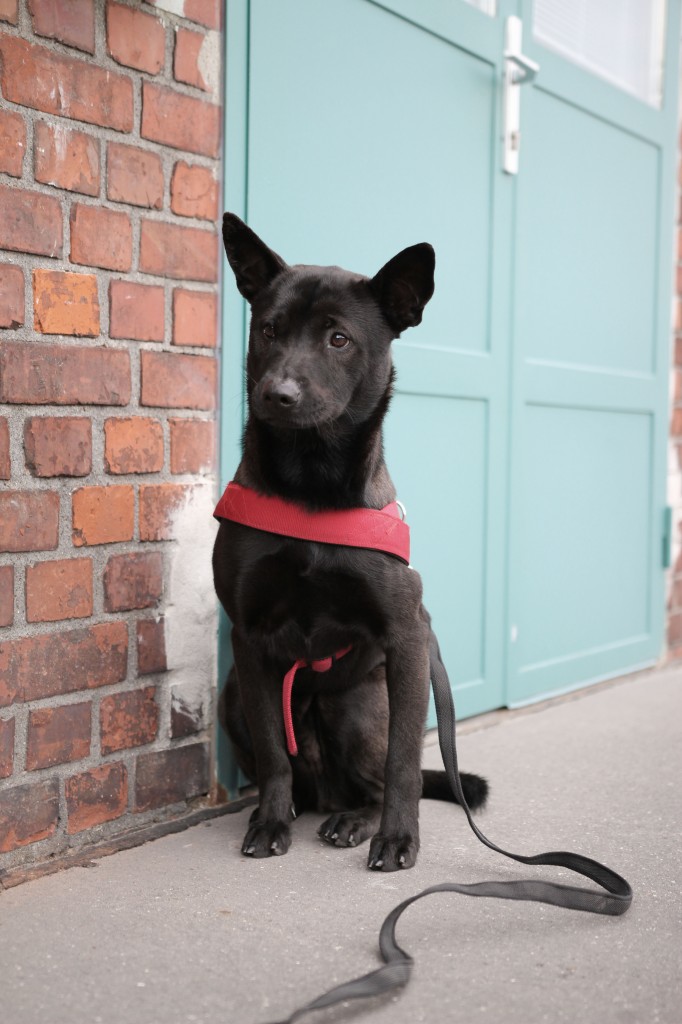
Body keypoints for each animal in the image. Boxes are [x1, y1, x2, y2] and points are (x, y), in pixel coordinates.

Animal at [212, 216, 483, 872]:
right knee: (292, 774)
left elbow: (405, 758)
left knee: (376, 782)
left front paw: (399, 837)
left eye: (339, 339)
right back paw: (292, 810)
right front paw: (268, 822)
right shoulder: (248, 639)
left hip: (358, 705)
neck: (312, 484)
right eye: (268, 329)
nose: (277, 394)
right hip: (231, 695)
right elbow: (273, 752)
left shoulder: (408, 635)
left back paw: (357, 821)